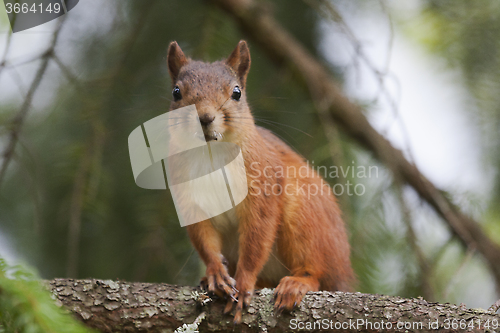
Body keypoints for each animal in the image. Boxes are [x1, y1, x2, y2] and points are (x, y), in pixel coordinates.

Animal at [166, 39, 354, 322]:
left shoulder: (262, 189)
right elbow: (204, 240)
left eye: (237, 92)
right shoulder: (189, 199)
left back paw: (297, 283)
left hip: (305, 219)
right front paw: (215, 273)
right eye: (176, 92)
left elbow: (257, 240)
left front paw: (244, 283)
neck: (211, 155)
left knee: (317, 272)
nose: (205, 117)